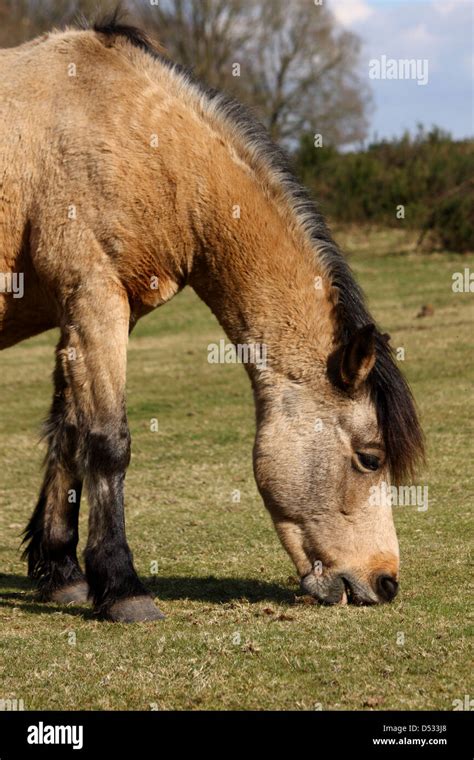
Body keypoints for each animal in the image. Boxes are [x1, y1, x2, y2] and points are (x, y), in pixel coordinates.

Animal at [0, 14, 422, 620]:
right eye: (370, 458)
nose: (385, 581)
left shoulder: (89, 312)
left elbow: (69, 430)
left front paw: (62, 573)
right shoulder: (94, 296)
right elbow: (106, 441)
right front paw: (123, 588)